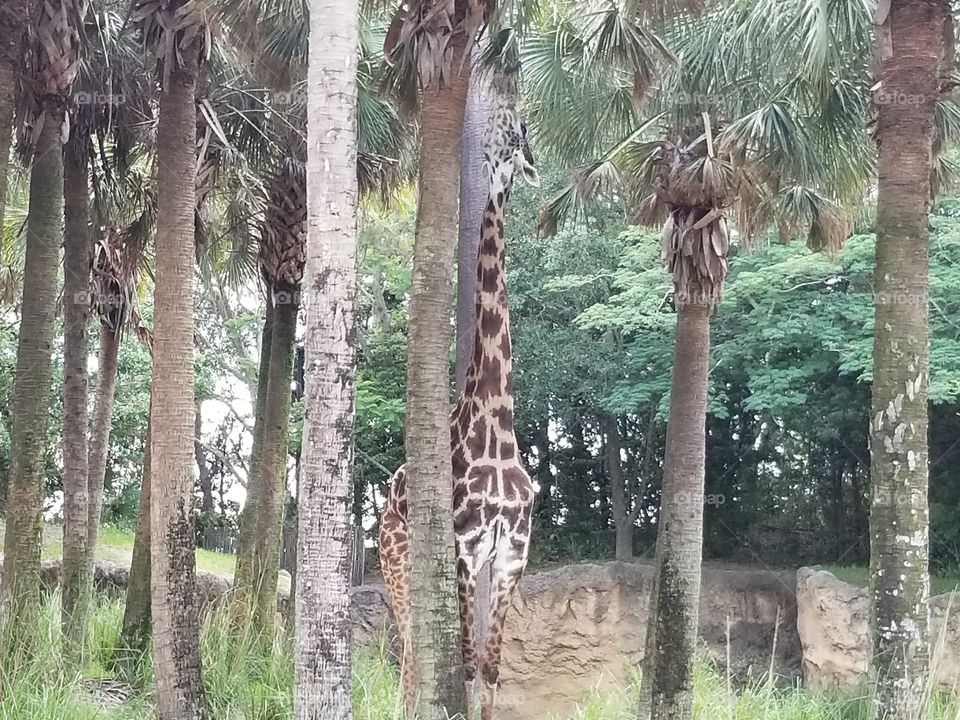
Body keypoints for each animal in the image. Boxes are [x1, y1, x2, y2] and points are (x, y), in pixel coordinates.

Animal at [376, 74, 540, 720]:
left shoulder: (512, 552)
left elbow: (491, 670)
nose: (517, 166)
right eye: (512, 131)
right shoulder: (467, 549)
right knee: (408, 648)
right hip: (399, 560)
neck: (497, 421)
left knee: (415, 652)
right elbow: (467, 666)